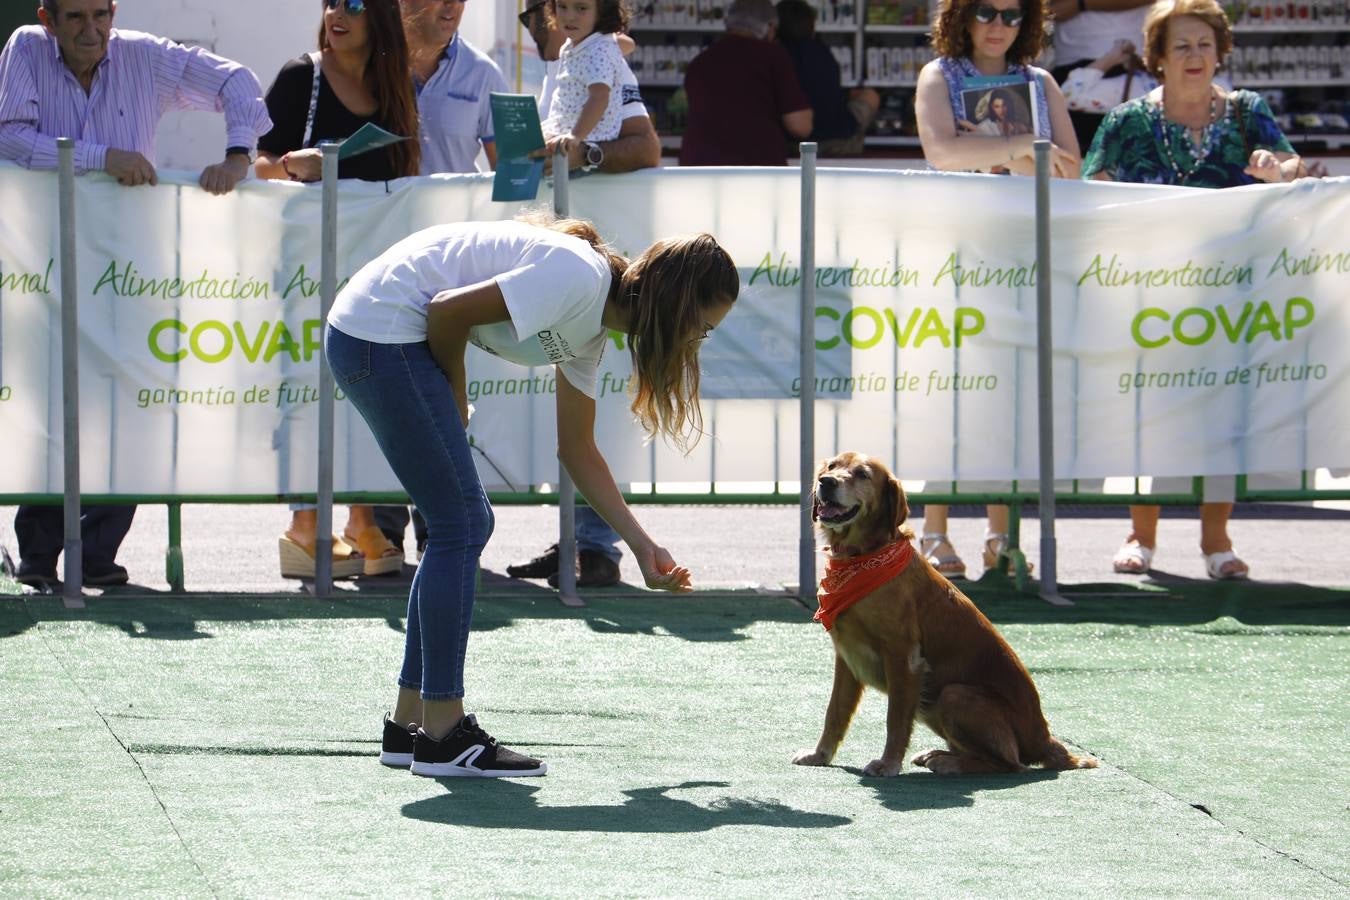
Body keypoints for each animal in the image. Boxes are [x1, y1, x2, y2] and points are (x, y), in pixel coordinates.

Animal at [788, 453, 1096, 777]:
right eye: (832, 467)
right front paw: (819, 755)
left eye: (861, 474)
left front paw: (888, 764)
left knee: (1010, 764)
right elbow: (834, 712)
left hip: (954, 694)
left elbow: (895, 719)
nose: (826, 482)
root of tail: (1044, 738)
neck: (863, 556)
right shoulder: (847, 659)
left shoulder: (904, 659)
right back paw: (939, 753)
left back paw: (950, 762)